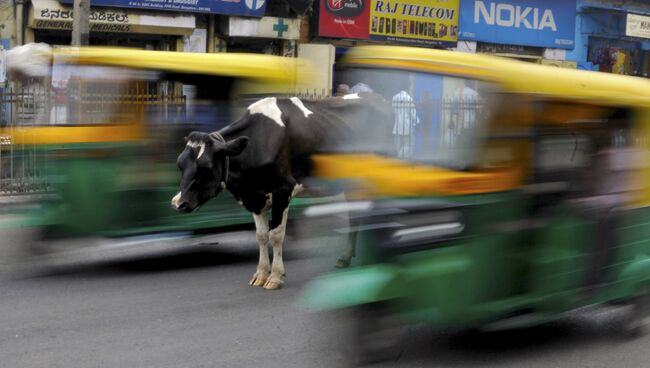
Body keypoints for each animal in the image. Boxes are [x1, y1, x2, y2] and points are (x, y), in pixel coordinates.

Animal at [170, 93, 390, 288]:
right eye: (180, 164)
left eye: (206, 167)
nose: (178, 203)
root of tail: (377, 97)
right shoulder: (255, 196)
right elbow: (261, 235)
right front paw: (260, 274)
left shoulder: (283, 189)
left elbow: (275, 235)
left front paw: (275, 276)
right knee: (356, 214)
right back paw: (346, 257)